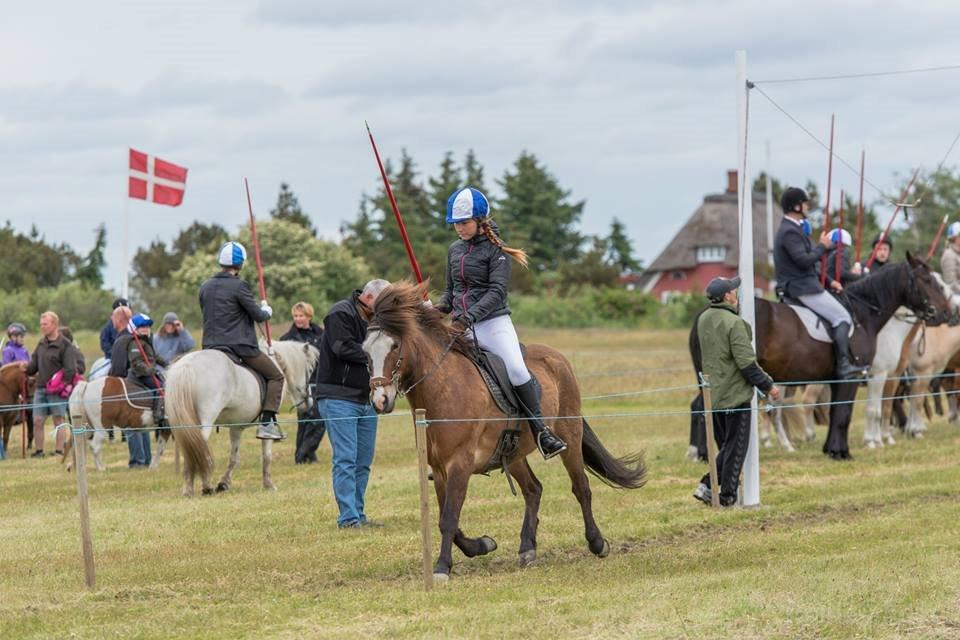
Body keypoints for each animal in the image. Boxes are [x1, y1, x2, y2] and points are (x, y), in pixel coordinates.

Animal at [163, 342, 316, 498]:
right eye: (310, 370)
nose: (309, 404)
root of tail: (187, 365)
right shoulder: (269, 422)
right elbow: (267, 455)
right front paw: (269, 485)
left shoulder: (236, 426)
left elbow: (234, 457)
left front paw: (224, 483)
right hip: (204, 422)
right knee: (199, 451)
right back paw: (204, 487)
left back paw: (190, 488)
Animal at [364, 282, 648, 584]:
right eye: (365, 351)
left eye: (395, 345)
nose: (380, 400)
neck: (443, 390)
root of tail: (557, 358)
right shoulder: (440, 469)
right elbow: (448, 519)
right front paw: (482, 545)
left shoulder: (459, 464)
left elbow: (449, 517)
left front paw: (440, 567)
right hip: (514, 453)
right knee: (534, 490)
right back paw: (527, 548)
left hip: (570, 437)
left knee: (580, 487)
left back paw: (597, 542)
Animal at [688, 254, 952, 460]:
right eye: (928, 280)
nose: (946, 313)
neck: (862, 316)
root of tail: (706, 313)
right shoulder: (856, 377)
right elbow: (846, 413)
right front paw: (842, 451)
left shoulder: (838, 379)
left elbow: (837, 413)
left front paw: (831, 449)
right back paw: (704, 454)